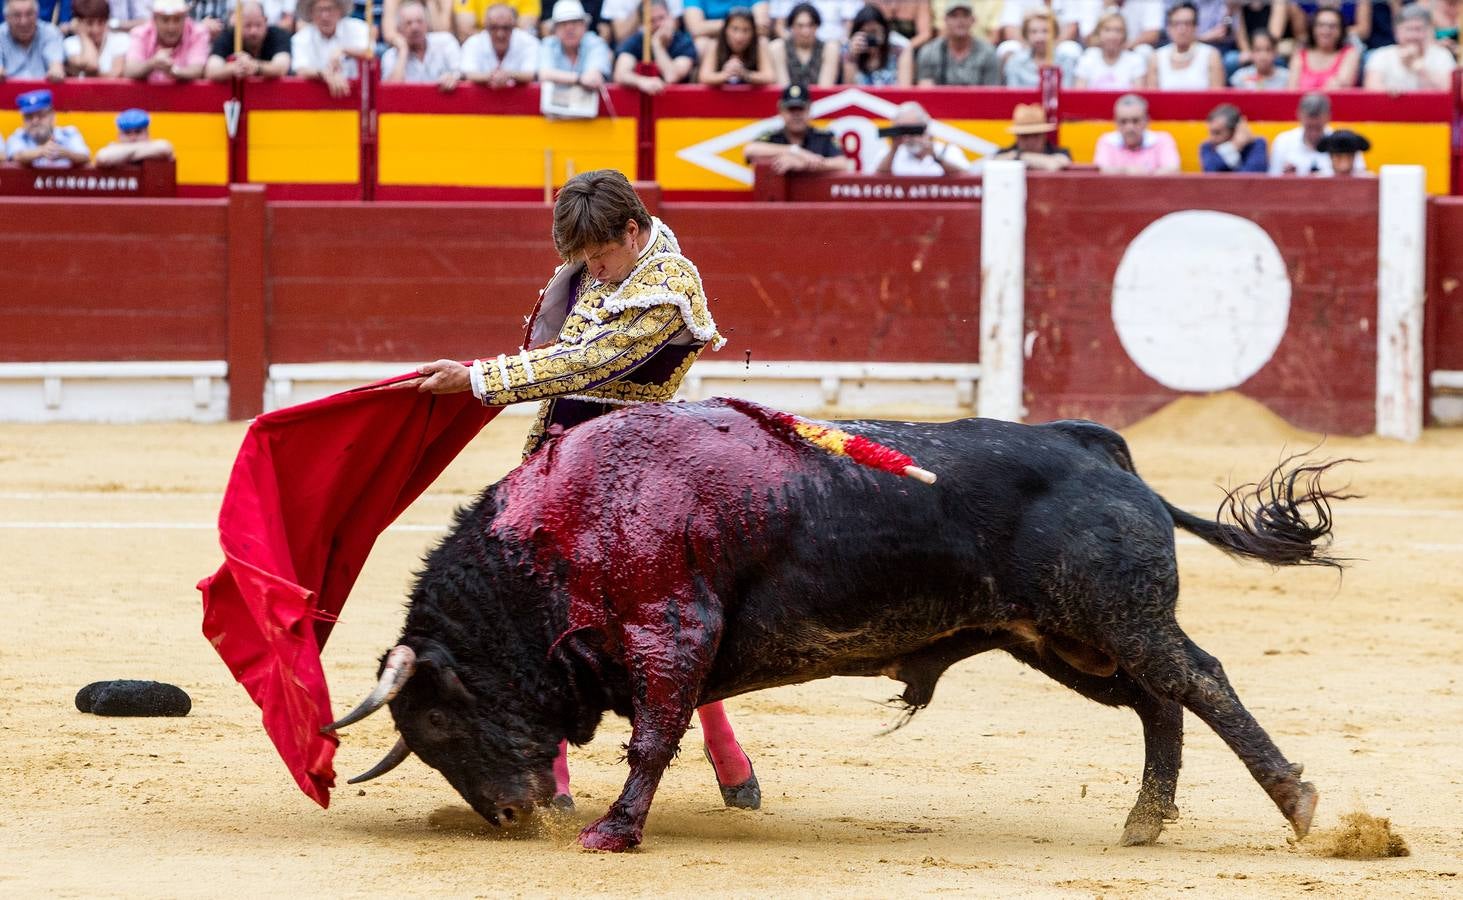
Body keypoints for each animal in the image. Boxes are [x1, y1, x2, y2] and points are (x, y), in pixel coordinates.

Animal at [326, 400, 1340, 854]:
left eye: (441, 718)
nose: (510, 817)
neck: (562, 531)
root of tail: (1094, 444)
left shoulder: (670, 631)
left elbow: (653, 735)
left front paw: (613, 830)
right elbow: (660, 730)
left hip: (1112, 616)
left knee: (1200, 680)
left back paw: (1295, 802)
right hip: (1060, 640)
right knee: (1158, 703)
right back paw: (1142, 821)